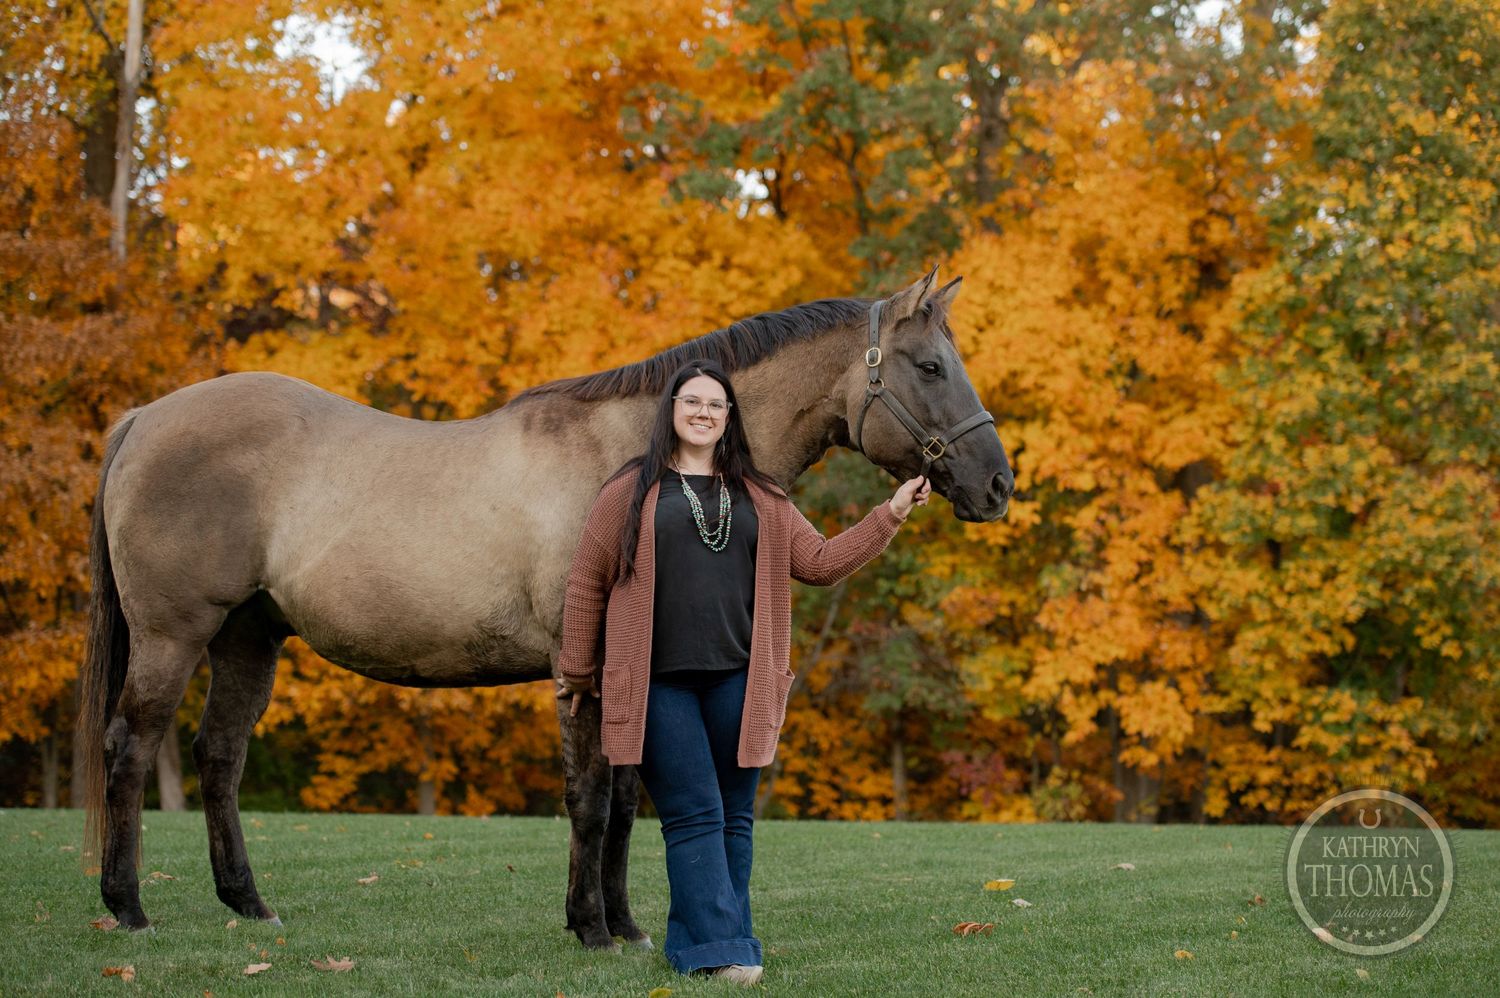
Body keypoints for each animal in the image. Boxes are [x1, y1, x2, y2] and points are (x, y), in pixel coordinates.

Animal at [77, 268, 1013, 948]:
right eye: (931, 367)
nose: (997, 485)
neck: (629, 460)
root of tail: (143, 418)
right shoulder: (584, 668)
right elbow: (590, 794)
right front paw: (591, 928)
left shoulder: (640, 669)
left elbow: (629, 797)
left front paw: (626, 926)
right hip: (172, 636)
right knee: (130, 750)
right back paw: (128, 909)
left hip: (248, 638)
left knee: (219, 757)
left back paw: (249, 905)